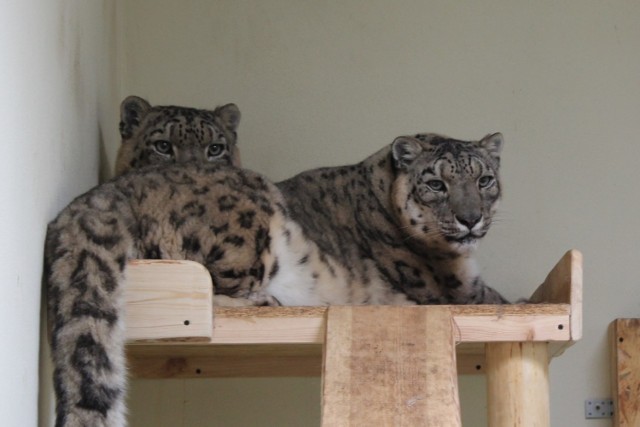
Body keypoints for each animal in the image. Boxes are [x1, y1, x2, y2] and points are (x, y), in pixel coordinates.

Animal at [43, 125, 510, 426]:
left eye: (486, 179)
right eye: (436, 184)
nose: (470, 219)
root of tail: (102, 192)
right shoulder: (461, 289)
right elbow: (506, 299)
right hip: (245, 233)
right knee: (213, 292)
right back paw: (267, 300)